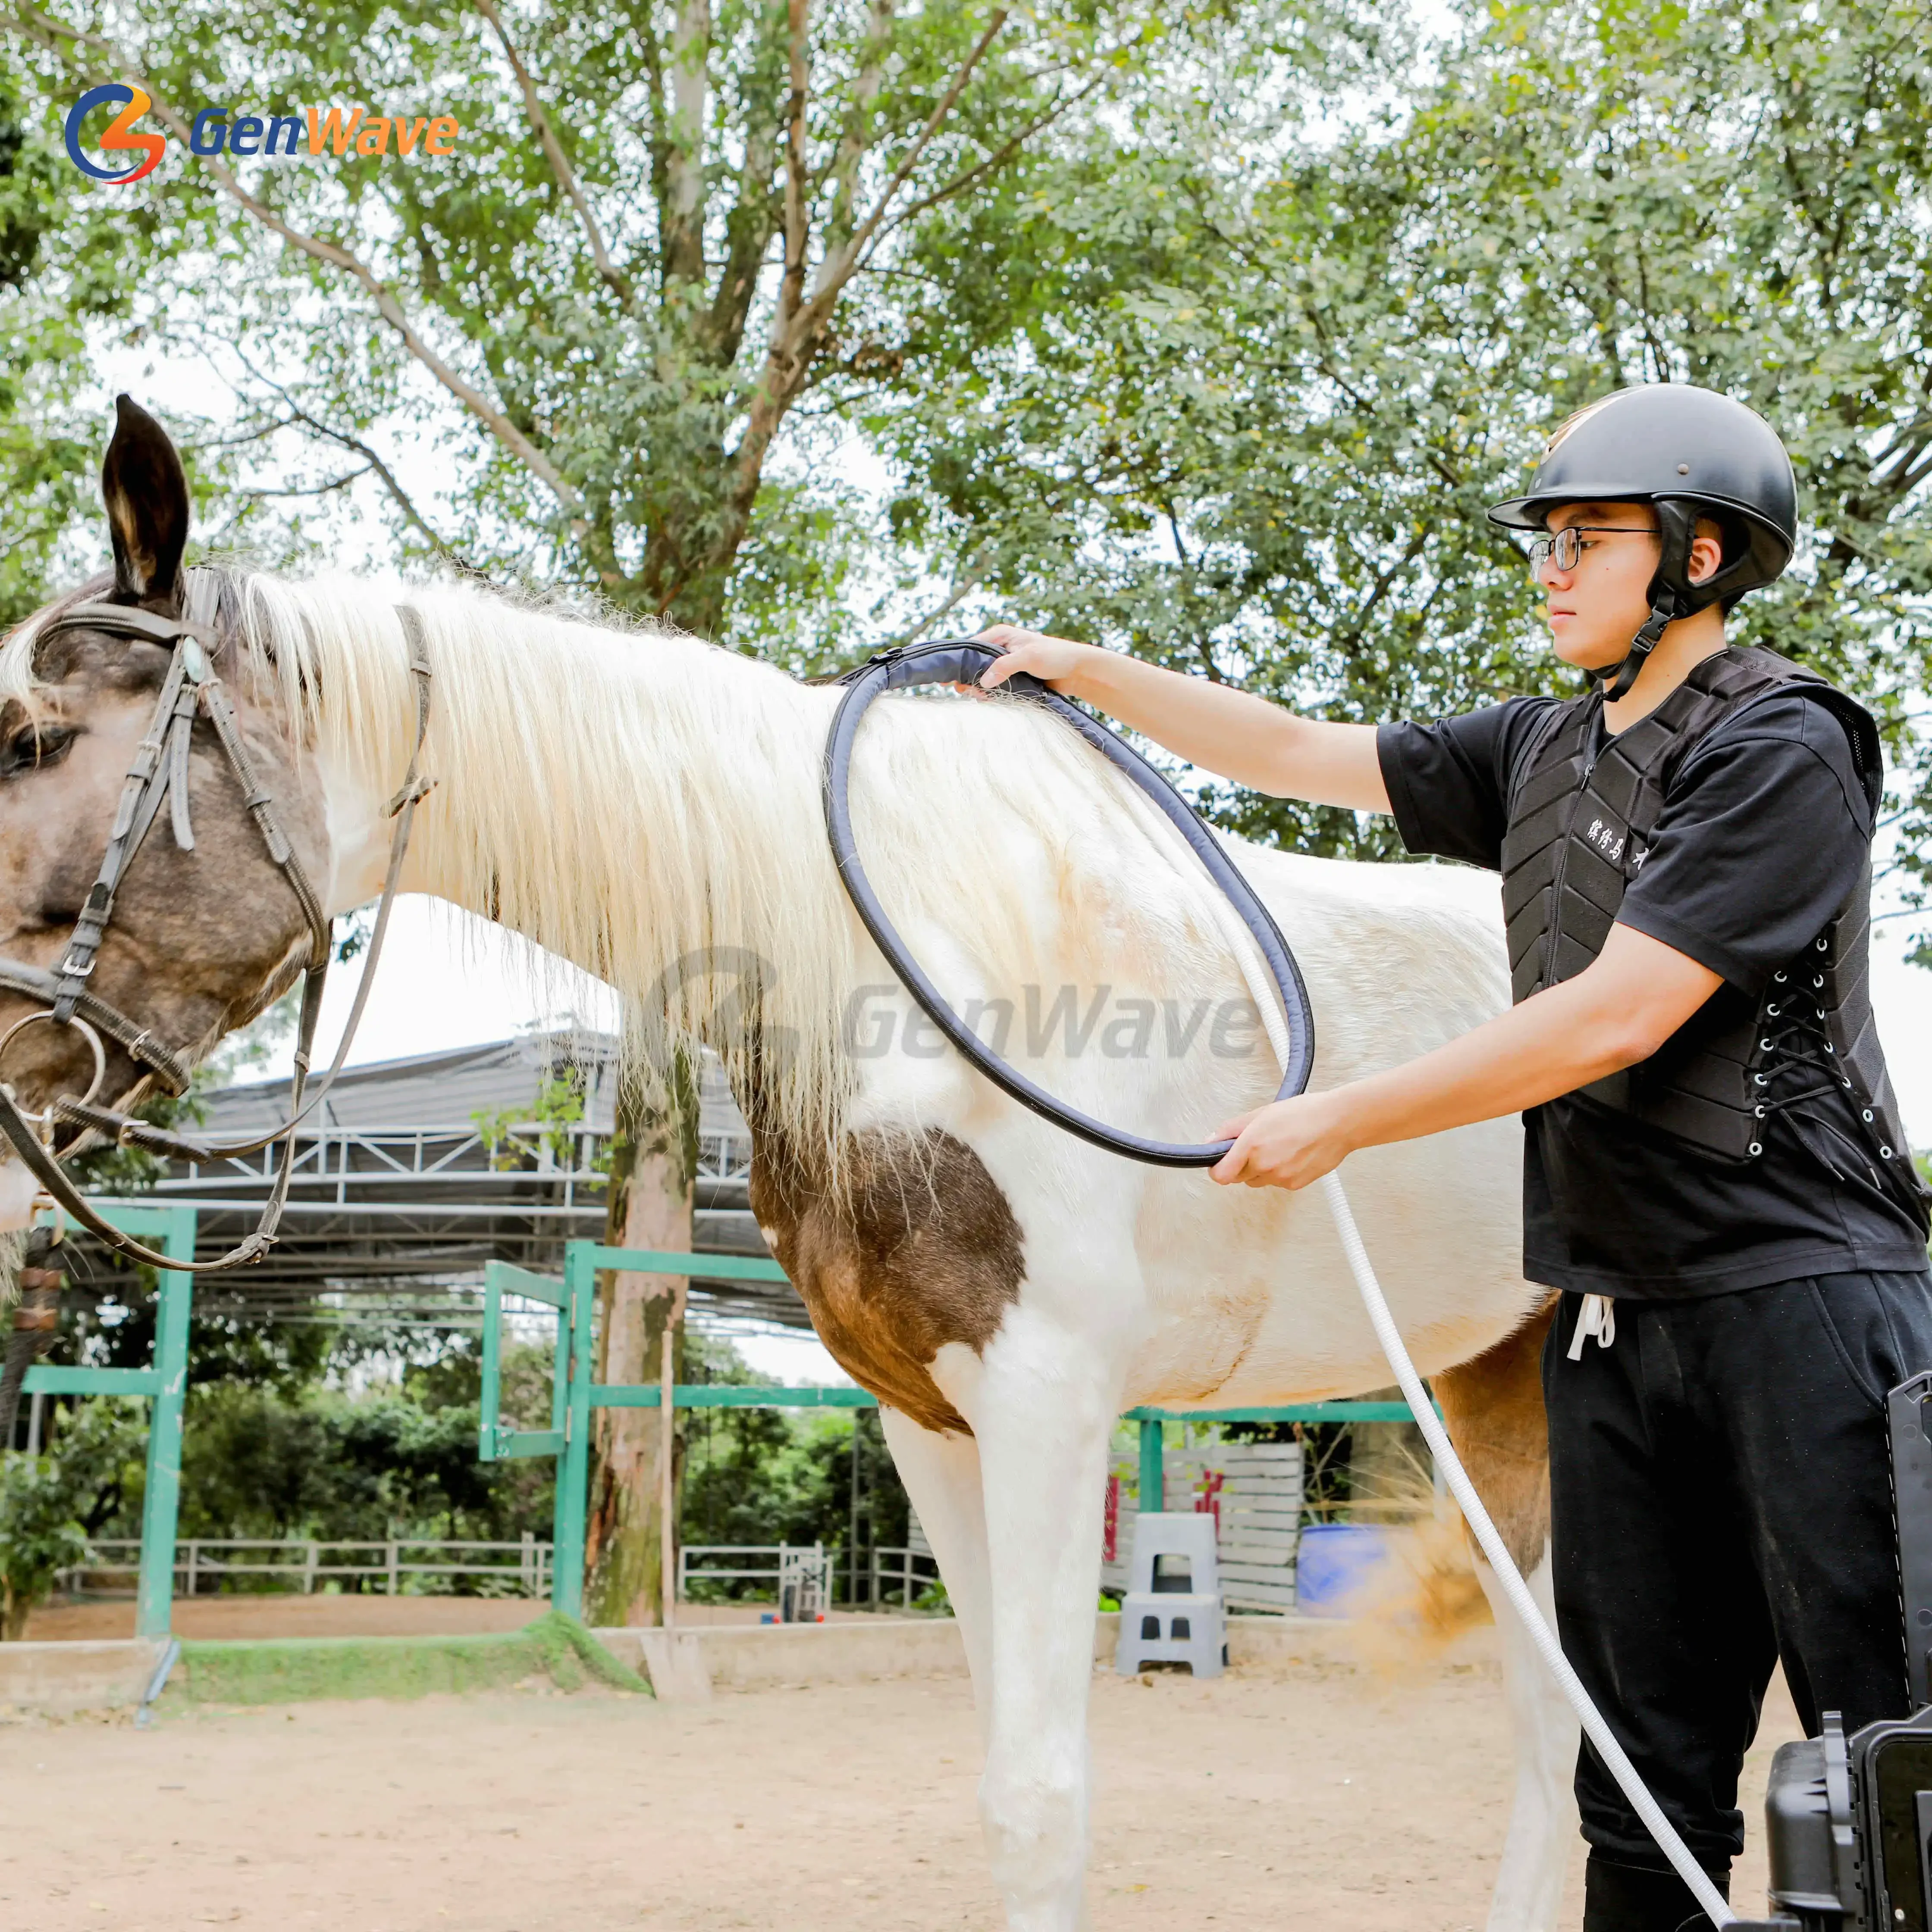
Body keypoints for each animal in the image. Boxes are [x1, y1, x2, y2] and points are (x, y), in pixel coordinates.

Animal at [0, 398, 1576, 1929]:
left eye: (29, 740)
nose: (9, 1120)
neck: (913, 957)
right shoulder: (934, 1422)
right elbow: (1002, 1780)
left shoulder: (1051, 1403)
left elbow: (1043, 1800)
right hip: (1491, 1395)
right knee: (1550, 1714)